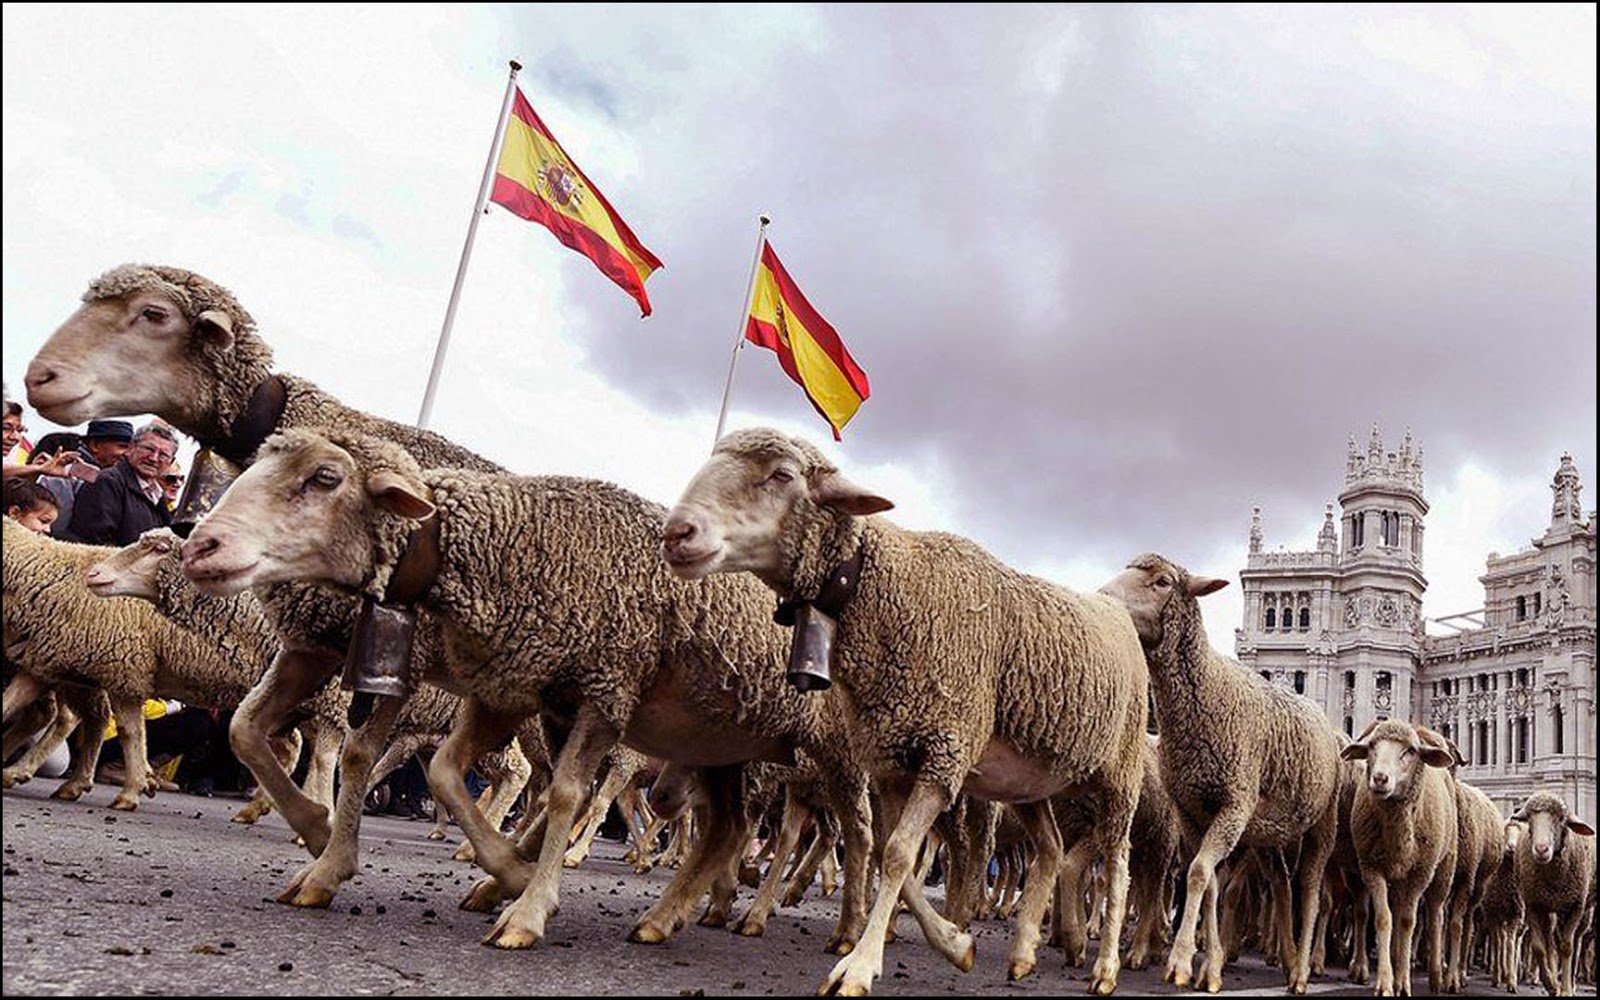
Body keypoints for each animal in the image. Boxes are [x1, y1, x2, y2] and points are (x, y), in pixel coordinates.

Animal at [179, 425, 874, 955]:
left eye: (324, 478)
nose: (201, 546)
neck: (507, 545)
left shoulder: (603, 689)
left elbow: (560, 793)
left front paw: (527, 904)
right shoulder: (505, 689)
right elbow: (431, 769)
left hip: (835, 755)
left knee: (852, 838)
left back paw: (843, 927)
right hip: (722, 741)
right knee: (726, 829)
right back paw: (665, 915)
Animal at [663, 426, 1149, 996]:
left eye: (782, 475)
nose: (676, 533)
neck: (893, 589)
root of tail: (1116, 611)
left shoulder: (944, 751)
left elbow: (896, 855)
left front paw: (858, 966)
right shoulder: (893, 759)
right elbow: (888, 853)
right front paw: (957, 944)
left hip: (1120, 777)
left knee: (1117, 868)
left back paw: (1106, 965)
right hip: (1030, 779)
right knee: (1050, 849)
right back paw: (1025, 950)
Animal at [1098, 553, 1343, 994]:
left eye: (1162, 582)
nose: (1102, 598)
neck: (1209, 689)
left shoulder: (1233, 805)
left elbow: (1197, 873)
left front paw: (1179, 961)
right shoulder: (1192, 811)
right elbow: (1210, 881)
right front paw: (1209, 967)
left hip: (1322, 824)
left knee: (1311, 891)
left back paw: (1301, 972)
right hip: (1269, 832)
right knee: (1282, 885)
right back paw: (1286, 957)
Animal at [1339, 719, 1461, 996]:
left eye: (1410, 751)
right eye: (1372, 746)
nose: (1379, 778)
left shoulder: (1420, 873)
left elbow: (1407, 921)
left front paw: (1403, 982)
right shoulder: (1372, 868)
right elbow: (1384, 919)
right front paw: (1386, 981)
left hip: (1442, 871)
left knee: (1436, 916)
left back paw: (1436, 975)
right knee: (1371, 912)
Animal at [1511, 791, 1596, 996]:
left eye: (1561, 819)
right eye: (1529, 819)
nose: (1541, 849)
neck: (1554, 880)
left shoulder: (1575, 906)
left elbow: (1567, 948)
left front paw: (1565, 989)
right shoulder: (1534, 905)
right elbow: (1540, 948)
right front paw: (1551, 984)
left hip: (1580, 913)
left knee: (1576, 943)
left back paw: (1572, 983)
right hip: (1551, 910)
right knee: (1551, 942)